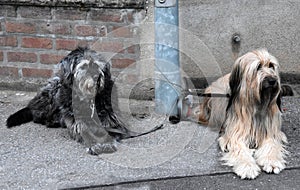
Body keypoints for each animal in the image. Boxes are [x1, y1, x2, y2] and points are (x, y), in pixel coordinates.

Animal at [6, 46, 159, 155]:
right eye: (84, 66)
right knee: (38, 115)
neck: (88, 99)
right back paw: (52, 120)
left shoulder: (111, 121)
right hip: (55, 86)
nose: (97, 78)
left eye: (97, 66)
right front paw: (97, 145)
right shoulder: (78, 124)